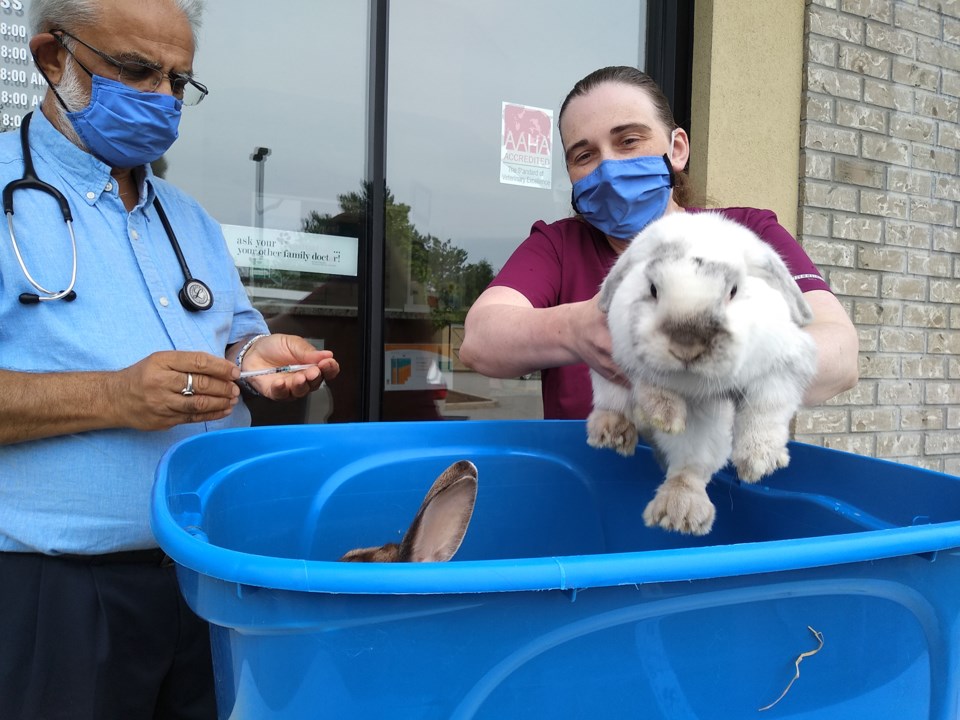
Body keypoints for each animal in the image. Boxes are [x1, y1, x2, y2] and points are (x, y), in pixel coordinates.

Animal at [584, 212, 816, 536]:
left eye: (733, 291)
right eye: (653, 289)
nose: (687, 346)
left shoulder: (783, 365)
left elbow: (766, 409)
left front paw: (758, 462)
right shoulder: (626, 355)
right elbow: (647, 383)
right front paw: (664, 415)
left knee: (689, 470)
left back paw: (679, 512)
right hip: (605, 381)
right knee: (616, 407)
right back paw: (614, 434)